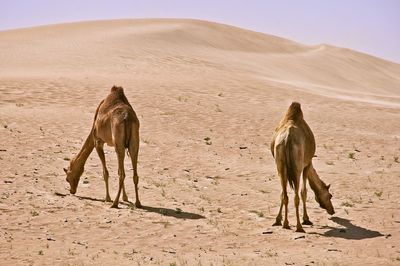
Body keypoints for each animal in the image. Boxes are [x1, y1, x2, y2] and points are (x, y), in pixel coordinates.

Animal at [272, 102, 334, 233]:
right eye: (330, 196)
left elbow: (282, 192)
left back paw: (285, 224)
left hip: (280, 165)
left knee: (285, 195)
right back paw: (299, 226)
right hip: (297, 167)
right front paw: (306, 219)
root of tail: (287, 138)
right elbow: (304, 192)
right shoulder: (307, 164)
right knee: (296, 196)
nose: (332, 211)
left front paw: (277, 220)